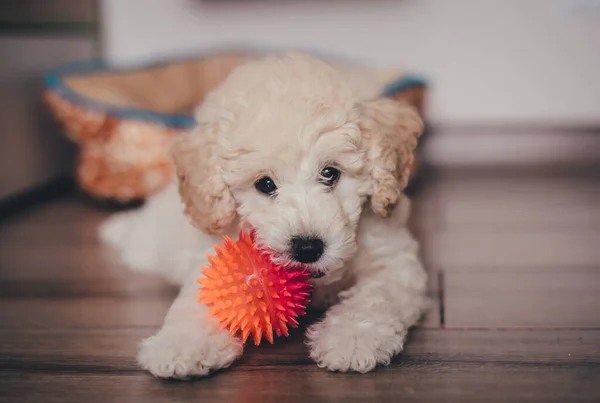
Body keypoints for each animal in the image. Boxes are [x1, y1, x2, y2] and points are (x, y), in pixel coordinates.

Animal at [99, 52, 426, 378]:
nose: (308, 248)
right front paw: (182, 345)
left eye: (330, 173)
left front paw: (353, 337)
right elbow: (203, 294)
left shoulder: (393, 258)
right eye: (265, 184)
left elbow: (375, 295)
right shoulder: (213, 253)